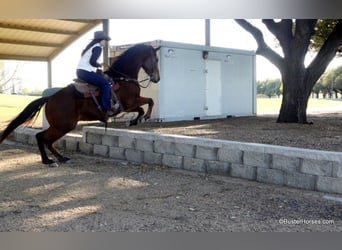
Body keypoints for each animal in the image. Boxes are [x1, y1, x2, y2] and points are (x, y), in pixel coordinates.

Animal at [0, 44, 160, 167]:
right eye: (157, 59)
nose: (157, 78)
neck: (122, 78)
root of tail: (50, 98)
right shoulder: (129, 103)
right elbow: (149, 101)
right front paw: (143, 118)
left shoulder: (129, 105)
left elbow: (143, 106)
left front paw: (134, 121)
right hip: (64, 125)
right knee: (42, 137)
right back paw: (48, 160)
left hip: (61, 126)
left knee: (45, 139)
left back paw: (60, 158)